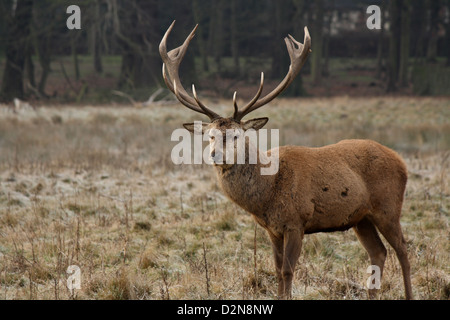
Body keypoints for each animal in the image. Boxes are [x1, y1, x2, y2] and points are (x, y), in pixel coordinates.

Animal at [160, 21, 414, 302]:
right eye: (209, 135)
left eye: (236, 134)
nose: (214, 154)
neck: (267, 193)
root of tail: (401, 161)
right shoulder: (272, 229)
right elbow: (277, 271)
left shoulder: (296, 221)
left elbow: (288, 271)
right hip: (361, 218)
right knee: (378, 252)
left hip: (388, 206)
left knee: (403, 250)